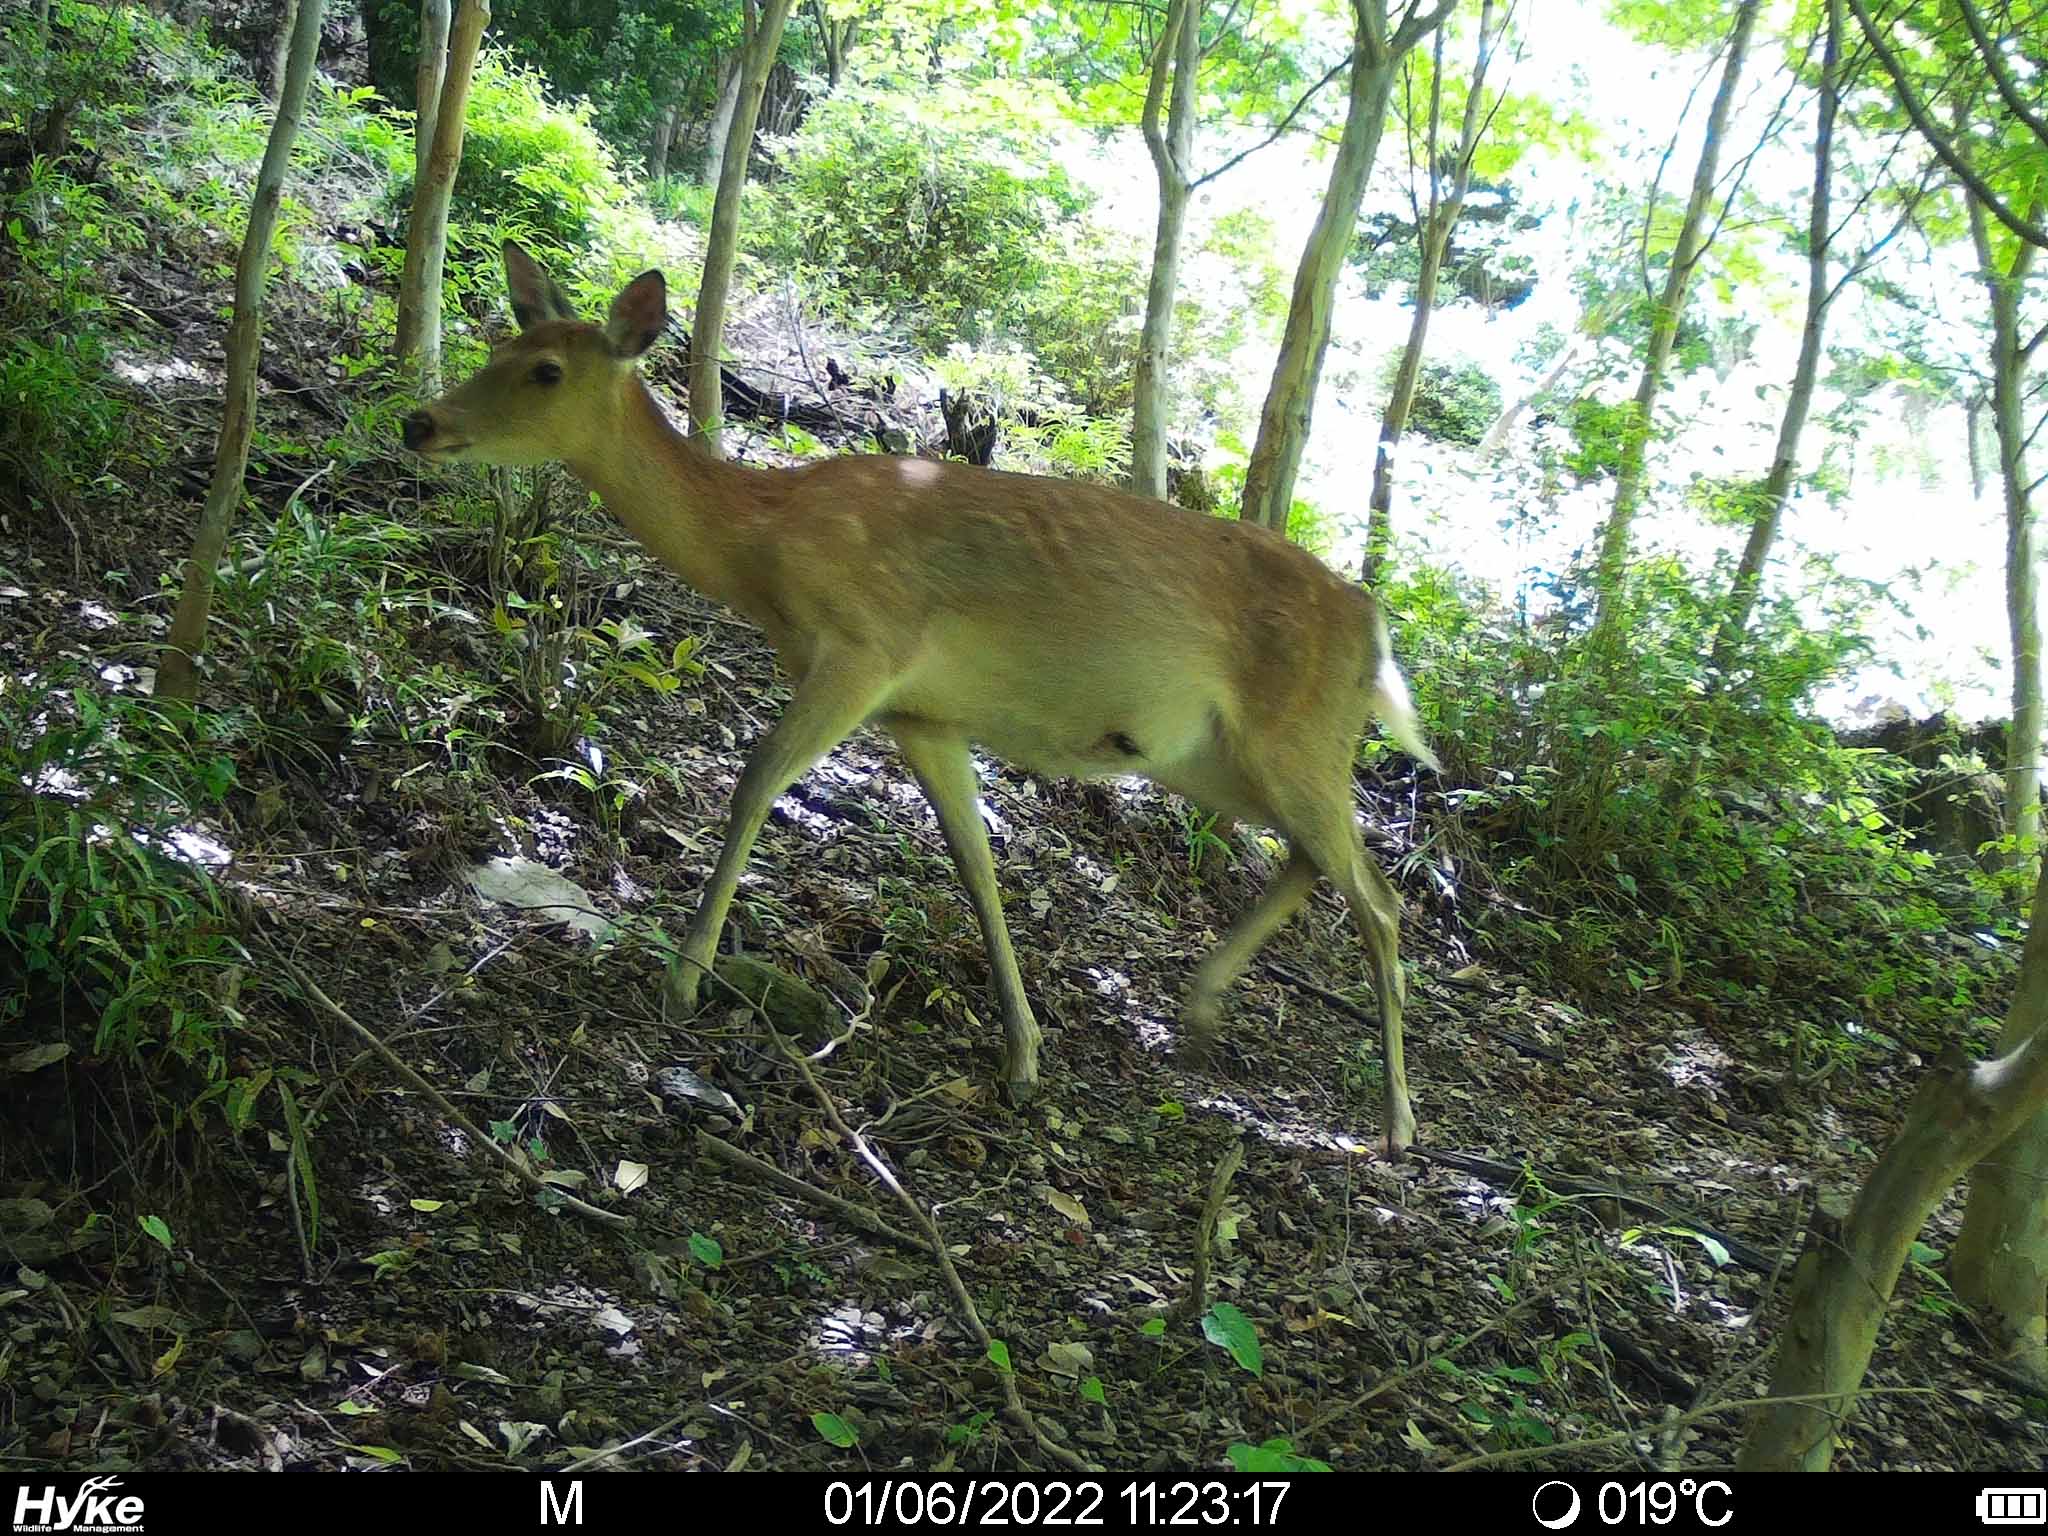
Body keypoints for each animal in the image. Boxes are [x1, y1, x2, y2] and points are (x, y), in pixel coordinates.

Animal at [403, 242, 1441, 1151]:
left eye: (545, 371)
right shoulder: (924, 713)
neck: (764, 547)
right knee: (1315, 863)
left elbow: (755, 782)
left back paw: (1395, 1122)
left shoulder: (867, 646)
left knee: (1382, 897)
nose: (422, 423)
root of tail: (1377, 631)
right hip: (1213, 756)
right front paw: (1024, 1054)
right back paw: (1198, 1008)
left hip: (1298, 735)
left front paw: (685, 980)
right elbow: (975, 860)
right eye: (495, 345)